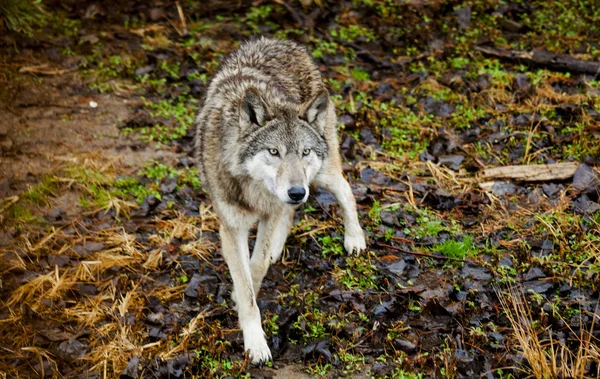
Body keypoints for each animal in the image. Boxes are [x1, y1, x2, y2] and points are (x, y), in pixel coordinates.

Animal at [195, 36, 368, 366]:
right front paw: (255, 341)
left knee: (345, 189)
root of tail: (283, 41)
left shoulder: (272, 207)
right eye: (273, 152)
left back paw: (354, 239)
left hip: (321, 175)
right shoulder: (231, 227)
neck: (253, 189)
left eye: (304, 152)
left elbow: (257, 264)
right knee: (291, 213)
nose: (296, 191)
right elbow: (247, 282)